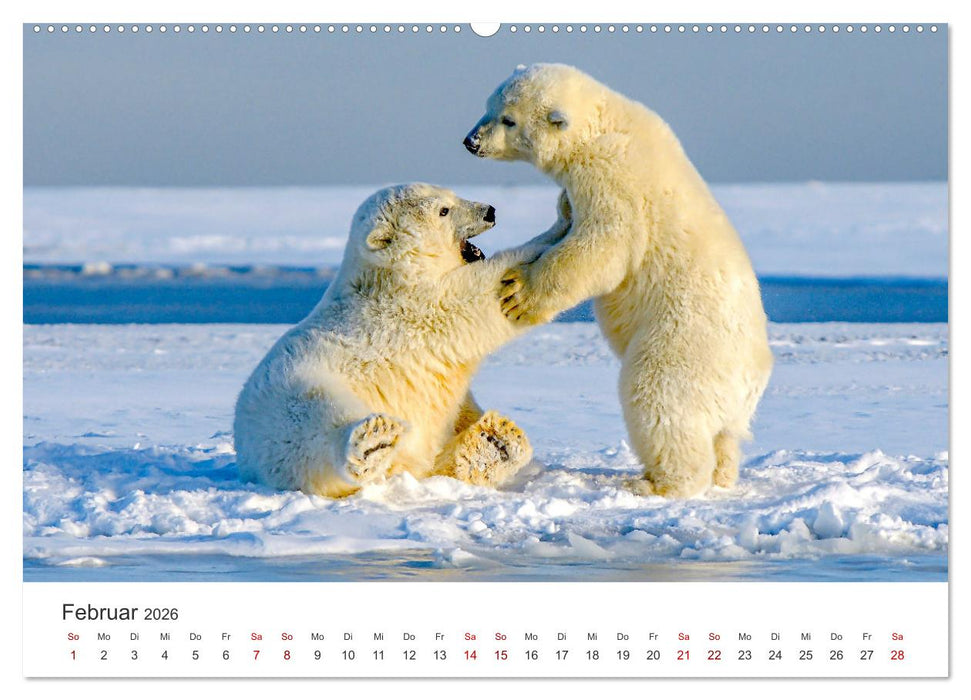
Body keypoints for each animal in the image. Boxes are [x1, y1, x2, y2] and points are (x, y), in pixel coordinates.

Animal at [234, 183, 570, 498]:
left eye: (452, 194)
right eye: (443, 210)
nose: (489, 211)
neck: (388, 275)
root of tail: (246, 454)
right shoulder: (415, 307)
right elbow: (478, 295)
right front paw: (560, 225)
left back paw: (497, 440)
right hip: (294, 395)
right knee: (317, 422)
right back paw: (373, 442)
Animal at [464, 63, 773, 498]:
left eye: (508, 119)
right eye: (489, 106)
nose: (471, 141)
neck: (606, 123)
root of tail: (752, 379)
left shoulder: (613, 178)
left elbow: (602, 246)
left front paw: (518, 294)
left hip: (683, 344)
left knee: (658, 399)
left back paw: (655, 483)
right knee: (724, 436)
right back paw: (722, 474)